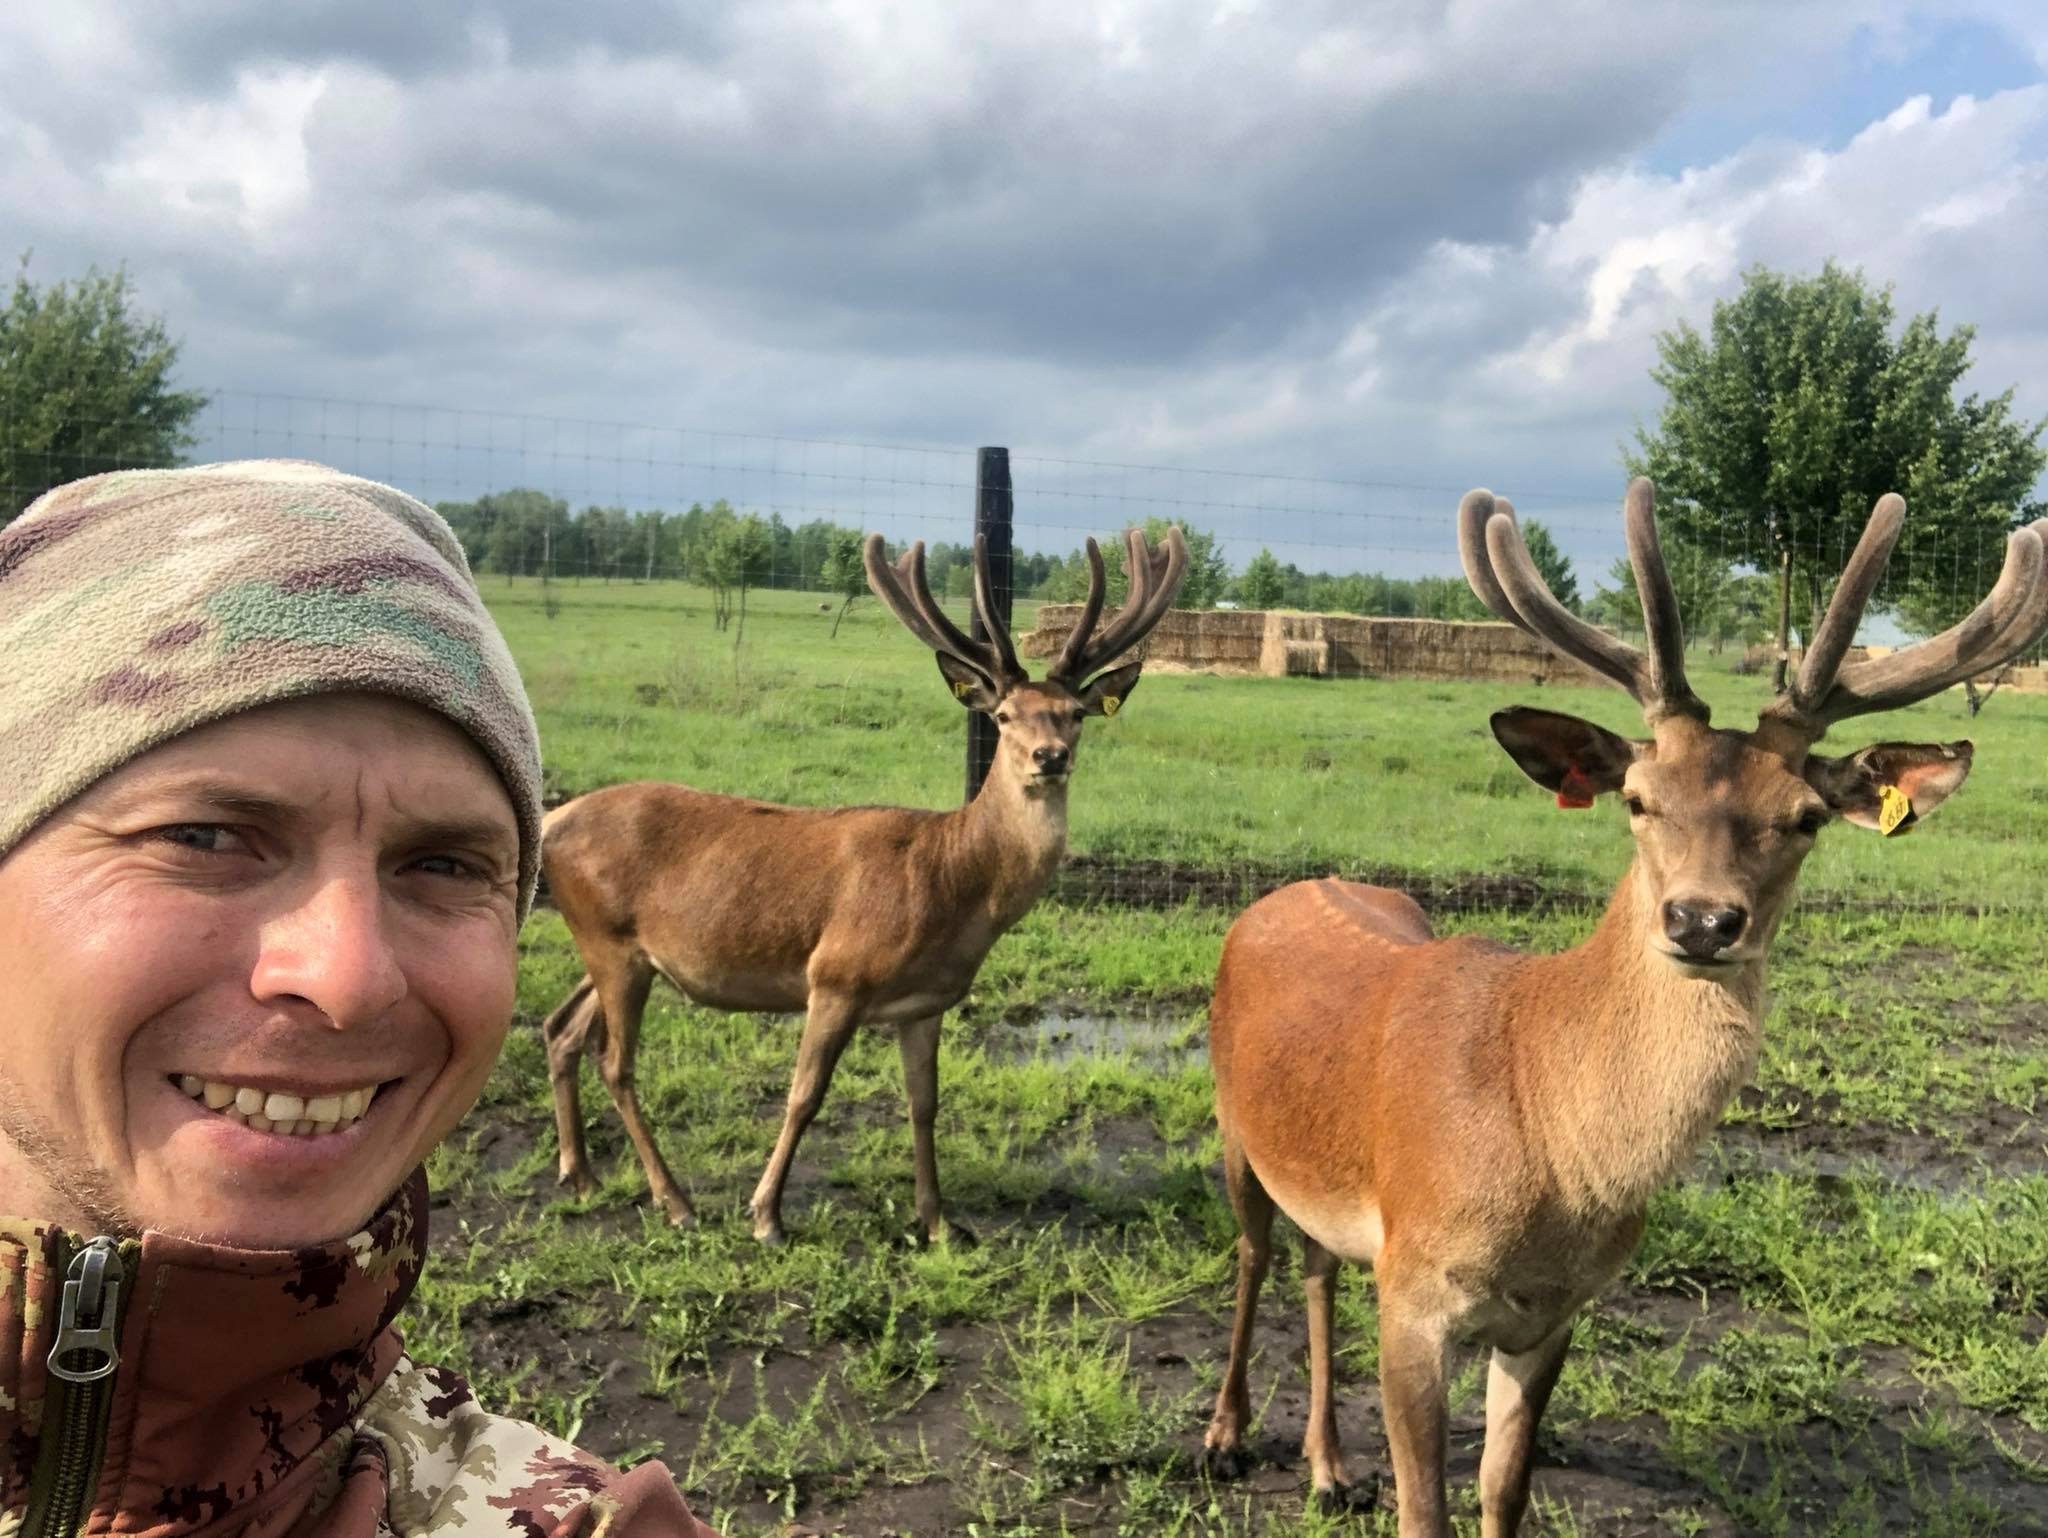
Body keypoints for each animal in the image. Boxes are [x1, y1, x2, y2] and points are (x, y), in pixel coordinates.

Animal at [536, 524, 1196, 1245]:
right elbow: (805, 1095)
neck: (954, 889)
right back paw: (675, 1200)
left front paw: (939, 1223)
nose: (1050, 757)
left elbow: (924, 1103)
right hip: (610, 942)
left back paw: (580, 1174)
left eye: (1076, 712)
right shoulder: (836, 975)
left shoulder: (927, 1002)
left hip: (613, 946)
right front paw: (767, 1215)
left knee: (560, 1027)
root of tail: (551, 818)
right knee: (615, 1061)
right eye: (1002, 716)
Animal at [1196, 475, 2048, 1531]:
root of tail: (1288, 890)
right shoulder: (1417, 1288)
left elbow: (1504, 1492)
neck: (1548, 1150)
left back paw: (1328, 1467)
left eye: (1806, 817)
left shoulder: (1553, 1313)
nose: (1703, 919)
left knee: (1315, 1268)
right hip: (1234, 1125)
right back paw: (1226, 1438)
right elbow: (1426, 1508)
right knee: (1252, 1256)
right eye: (1638, 799)